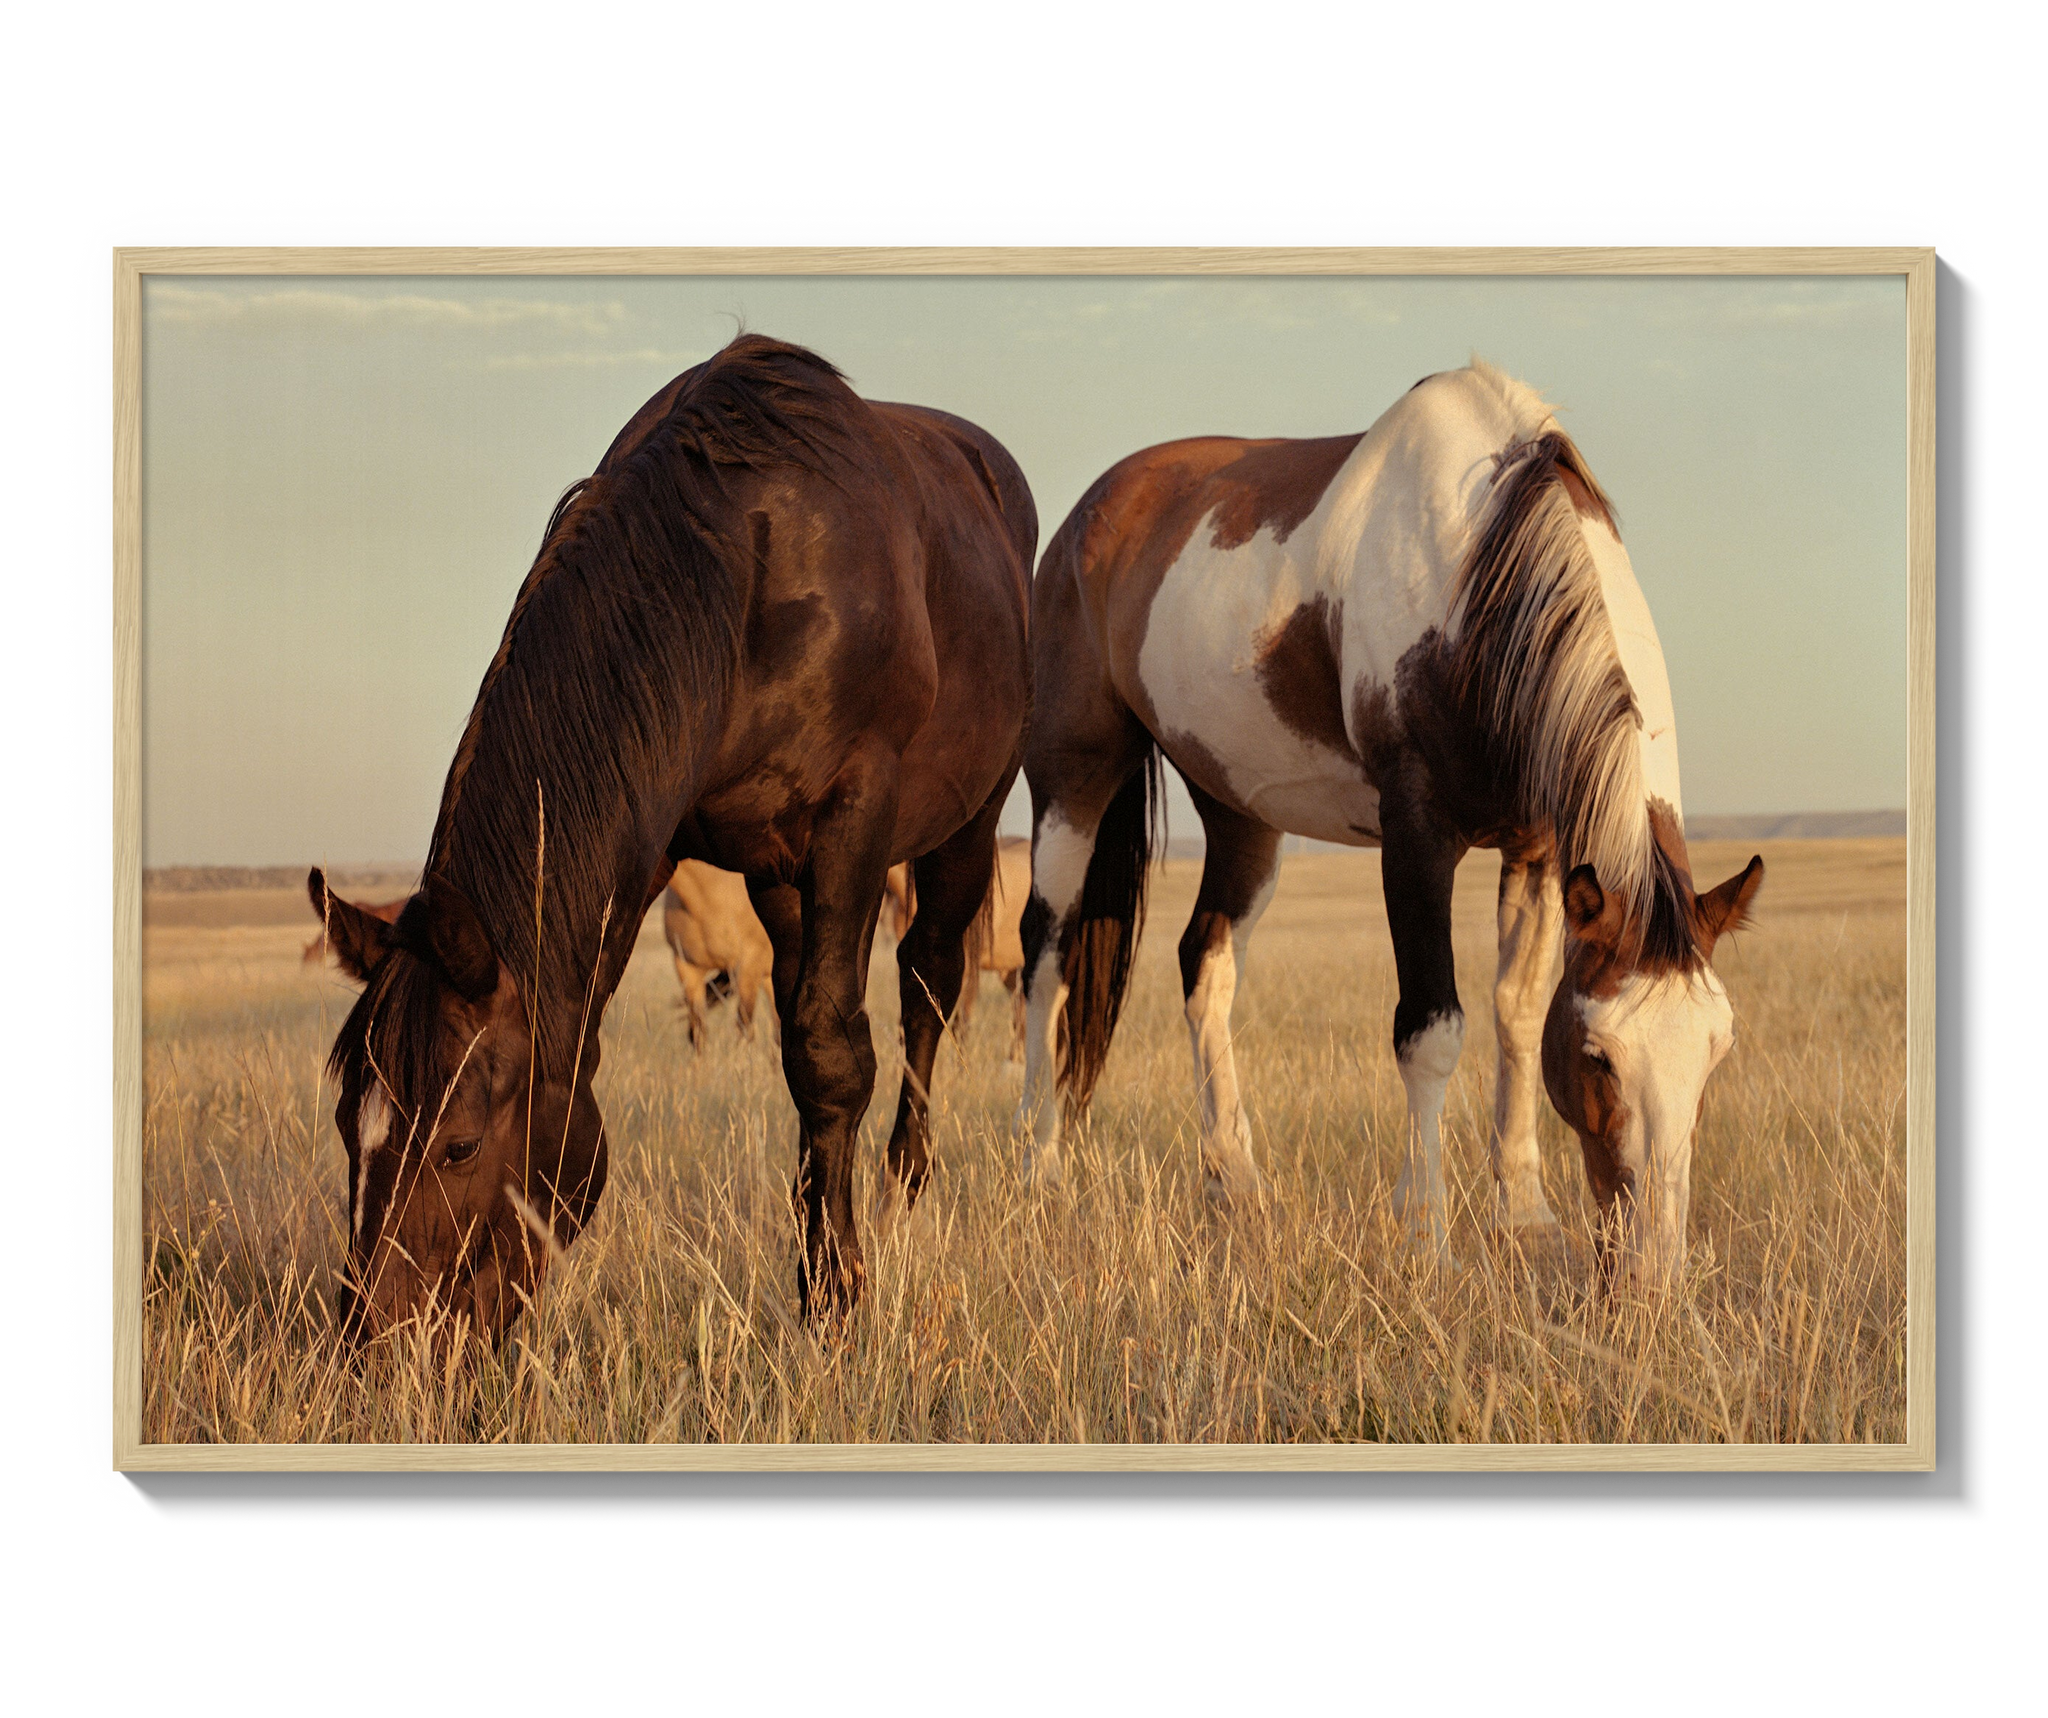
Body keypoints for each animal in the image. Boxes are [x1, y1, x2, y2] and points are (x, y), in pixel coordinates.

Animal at [1019, 362, 1761, 1294]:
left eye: (1716, 1052)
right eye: (1598, 1057)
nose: (1652, 1273)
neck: (1475, 570)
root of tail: (1087, 516)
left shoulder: (1538, 848)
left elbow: (1517, 1013)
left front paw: (1524, 1215)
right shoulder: (1417, 836)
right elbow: (1431, 1030)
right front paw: (1427, 1239)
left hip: (1240, 812)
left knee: (1205, 961)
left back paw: (1237, 1185)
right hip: (1072, 780)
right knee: (1045, 954)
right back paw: (1039, 1169)